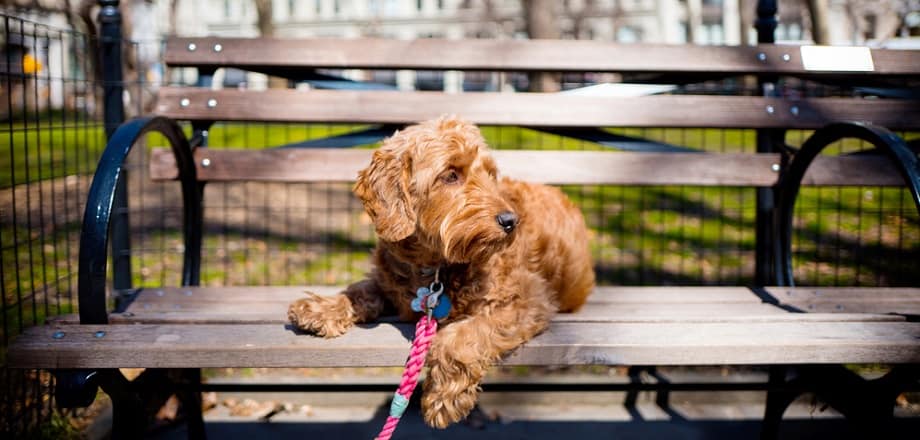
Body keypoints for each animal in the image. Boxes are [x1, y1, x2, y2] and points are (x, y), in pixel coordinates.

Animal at [292, 115, 600, 428]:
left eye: (490, 174)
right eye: (451, 175)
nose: (511, 220)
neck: (433, 267)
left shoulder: (528, 299)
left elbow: (462, 336)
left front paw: (443, 398)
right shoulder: (390, 280)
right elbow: (362, 289)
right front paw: (322, 307)